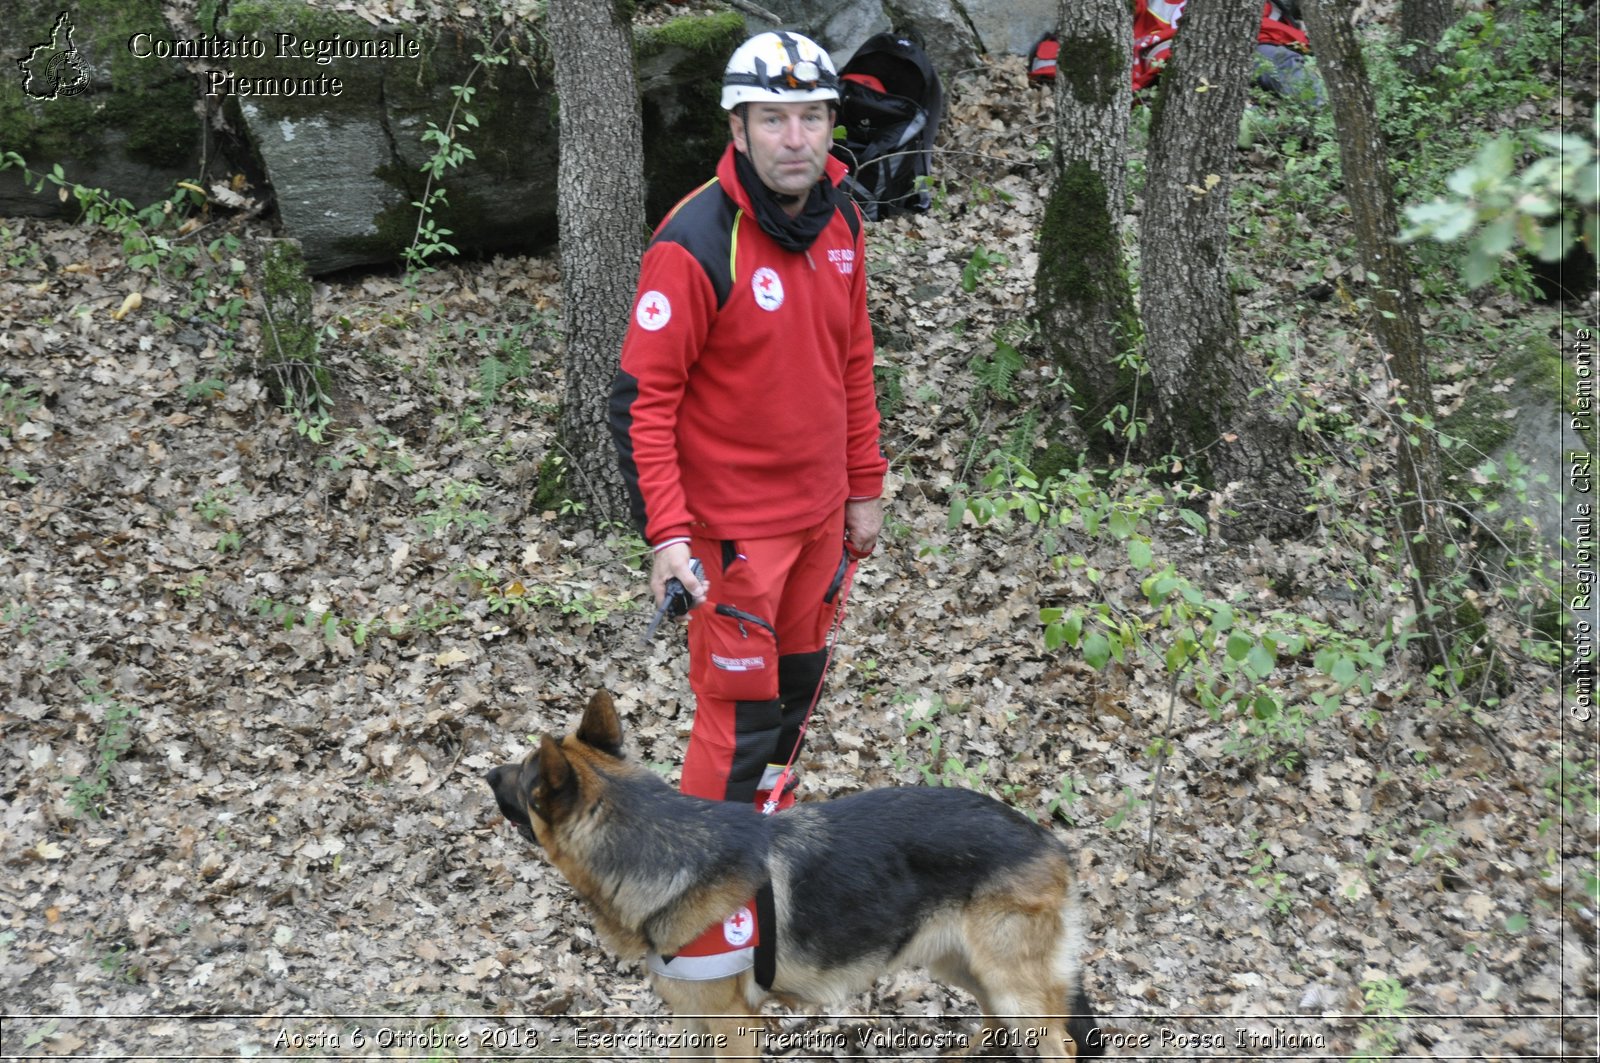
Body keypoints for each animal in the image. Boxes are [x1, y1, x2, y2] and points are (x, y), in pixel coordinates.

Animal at [486, 688, 1107, 1056]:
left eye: (524, 776)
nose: (488, 774)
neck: (661, 849)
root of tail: (1048, 840)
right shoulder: (692, 1017)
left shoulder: (733, 1025)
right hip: (965, 966)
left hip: (1010, 983)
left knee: (1056, 1044)